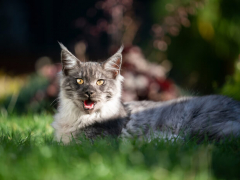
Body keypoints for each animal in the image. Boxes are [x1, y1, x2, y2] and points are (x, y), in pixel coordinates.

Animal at [51, 43, 240, 143]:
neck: (78, 119)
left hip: (202, 127)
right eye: (80, 81)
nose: (89, 92)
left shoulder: (96, 141)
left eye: (100, 82)